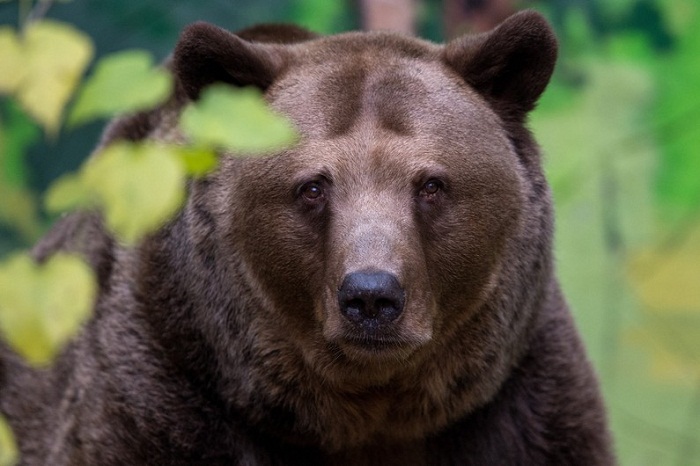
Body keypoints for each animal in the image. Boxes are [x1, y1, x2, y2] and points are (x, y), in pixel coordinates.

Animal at [0, 10, 612, 466]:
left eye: (432, 184)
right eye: (313, 186)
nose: (372, 296)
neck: (363, 415)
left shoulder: (519, 403)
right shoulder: (161, 385)